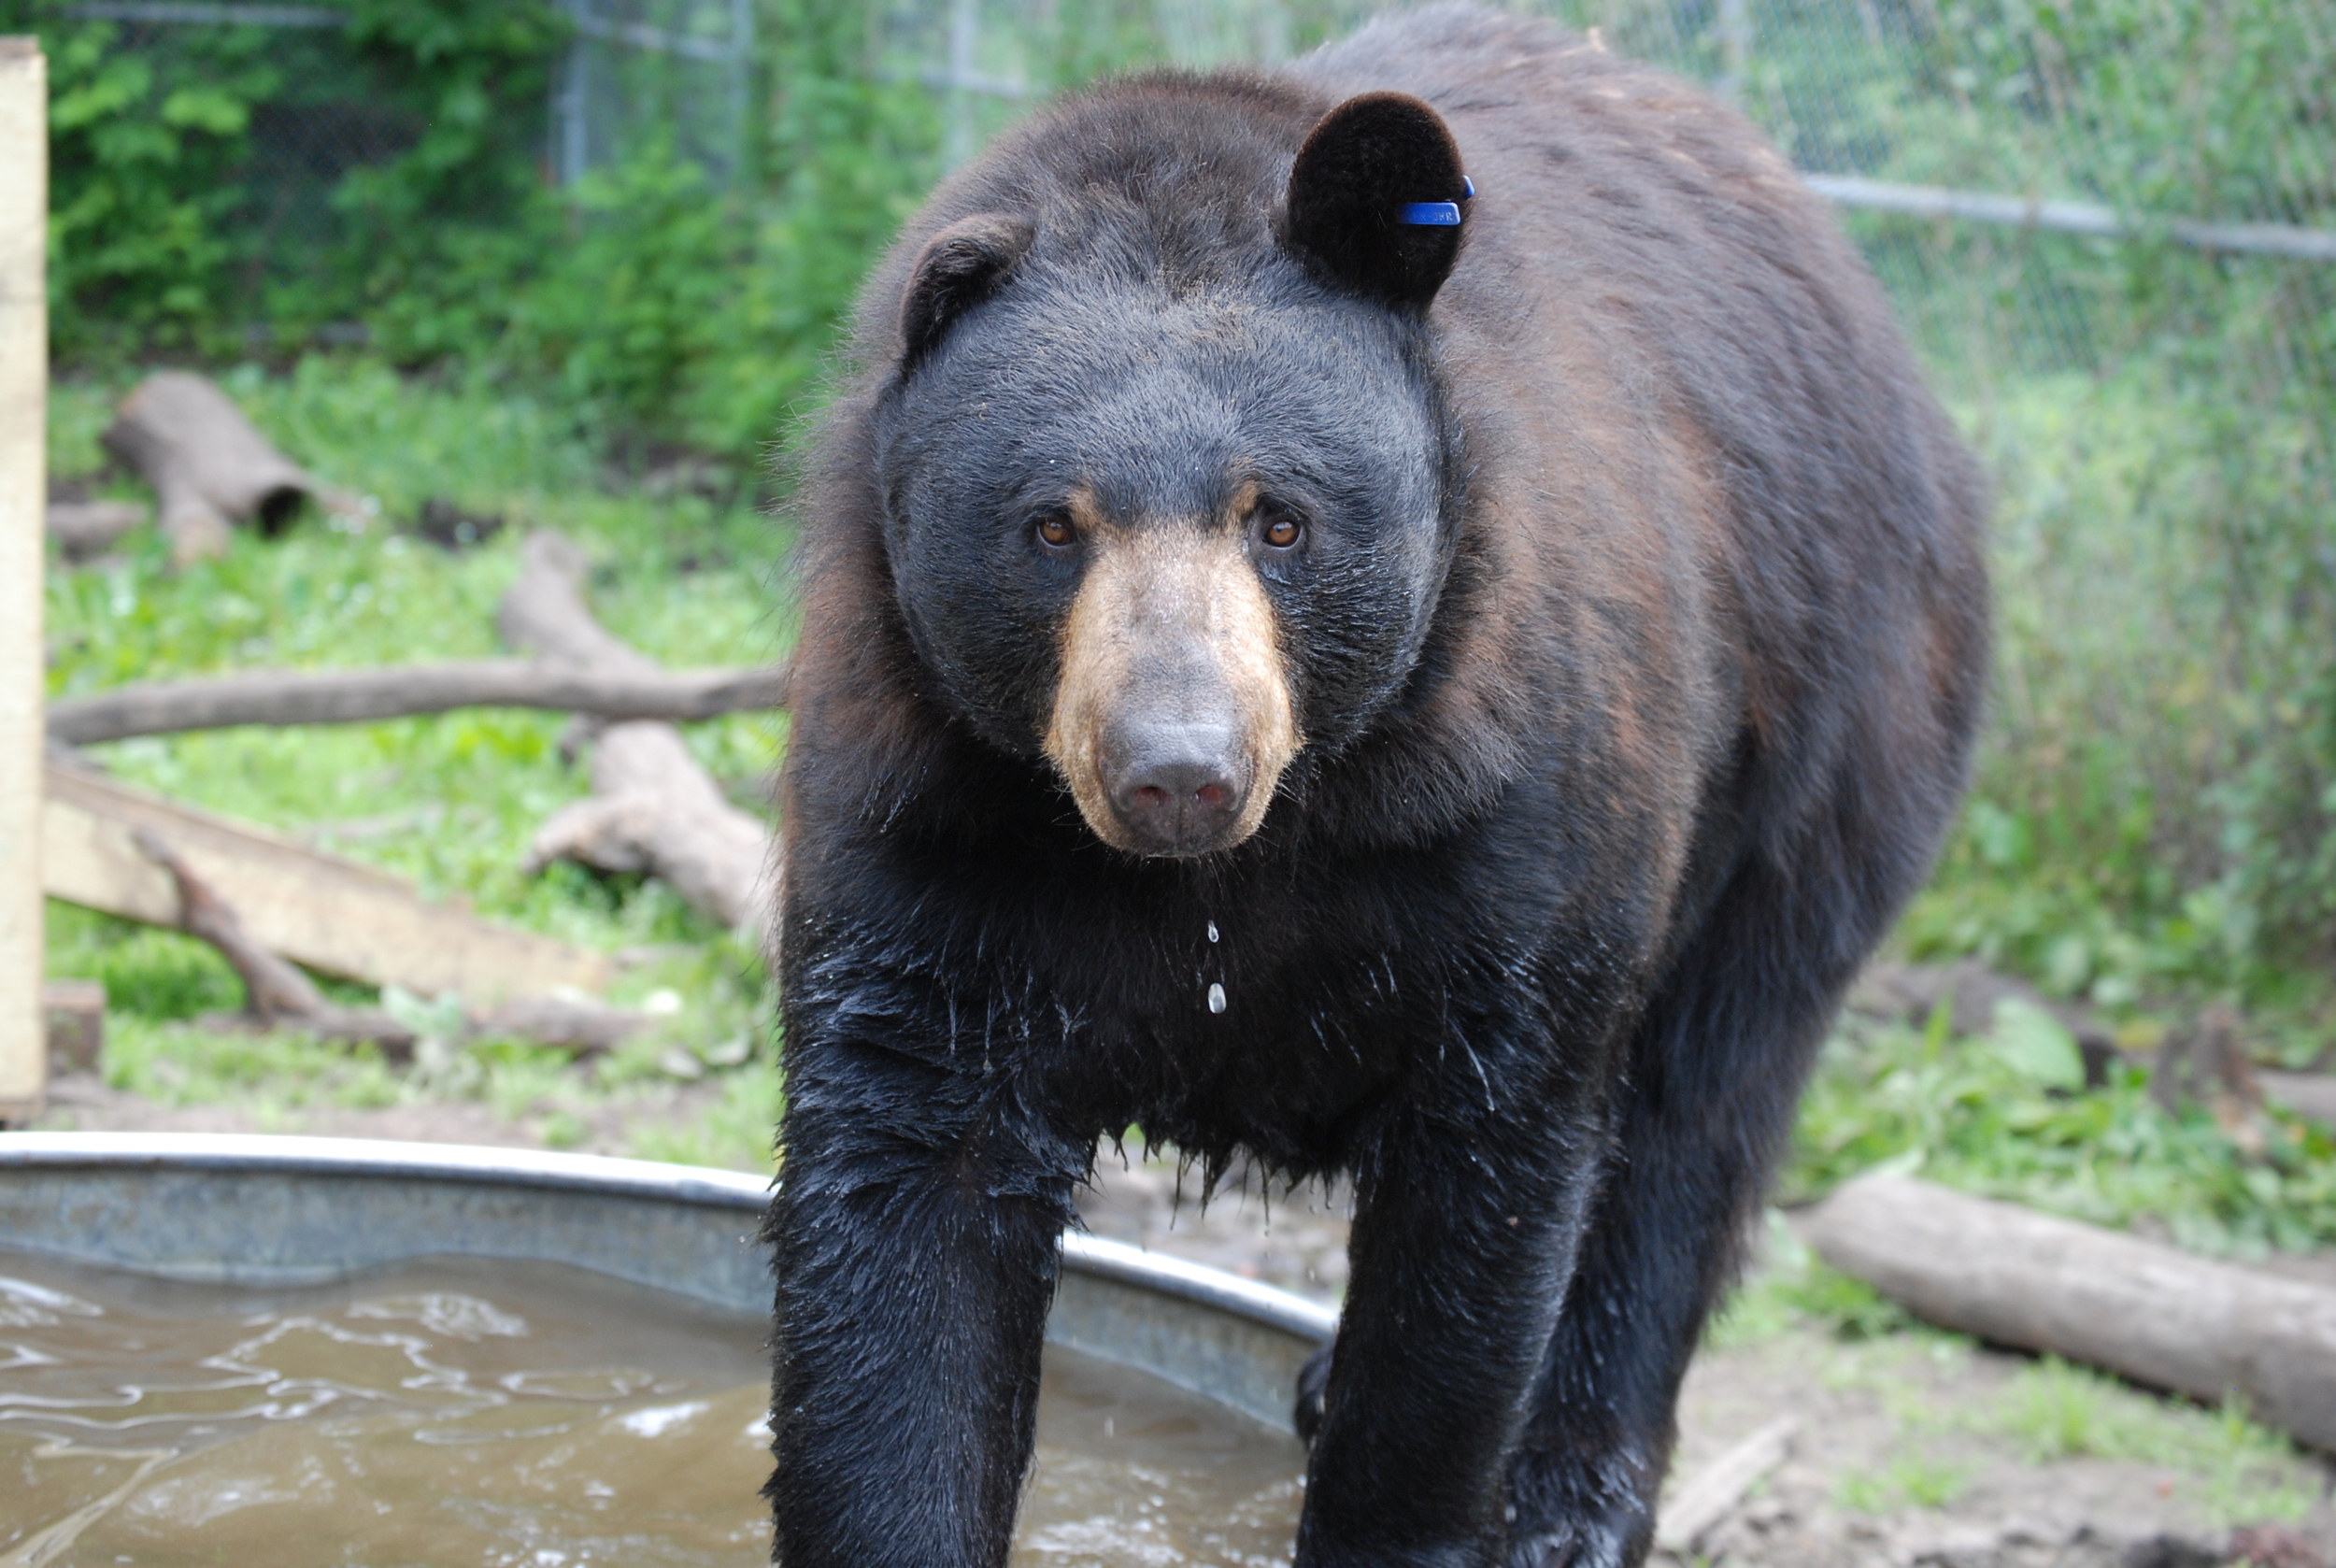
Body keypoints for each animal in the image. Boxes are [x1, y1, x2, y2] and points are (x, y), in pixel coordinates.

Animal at [776, 6, 1981, 1561]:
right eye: (1052, 525)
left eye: (1279, 518)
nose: (1177, 769)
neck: (1257, 847)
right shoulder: (936, 804)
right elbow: (908, 1200)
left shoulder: (1514, 805)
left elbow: (1485, 1204)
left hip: (1830, 740)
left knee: (1693, 1120)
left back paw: (1568, 1494)